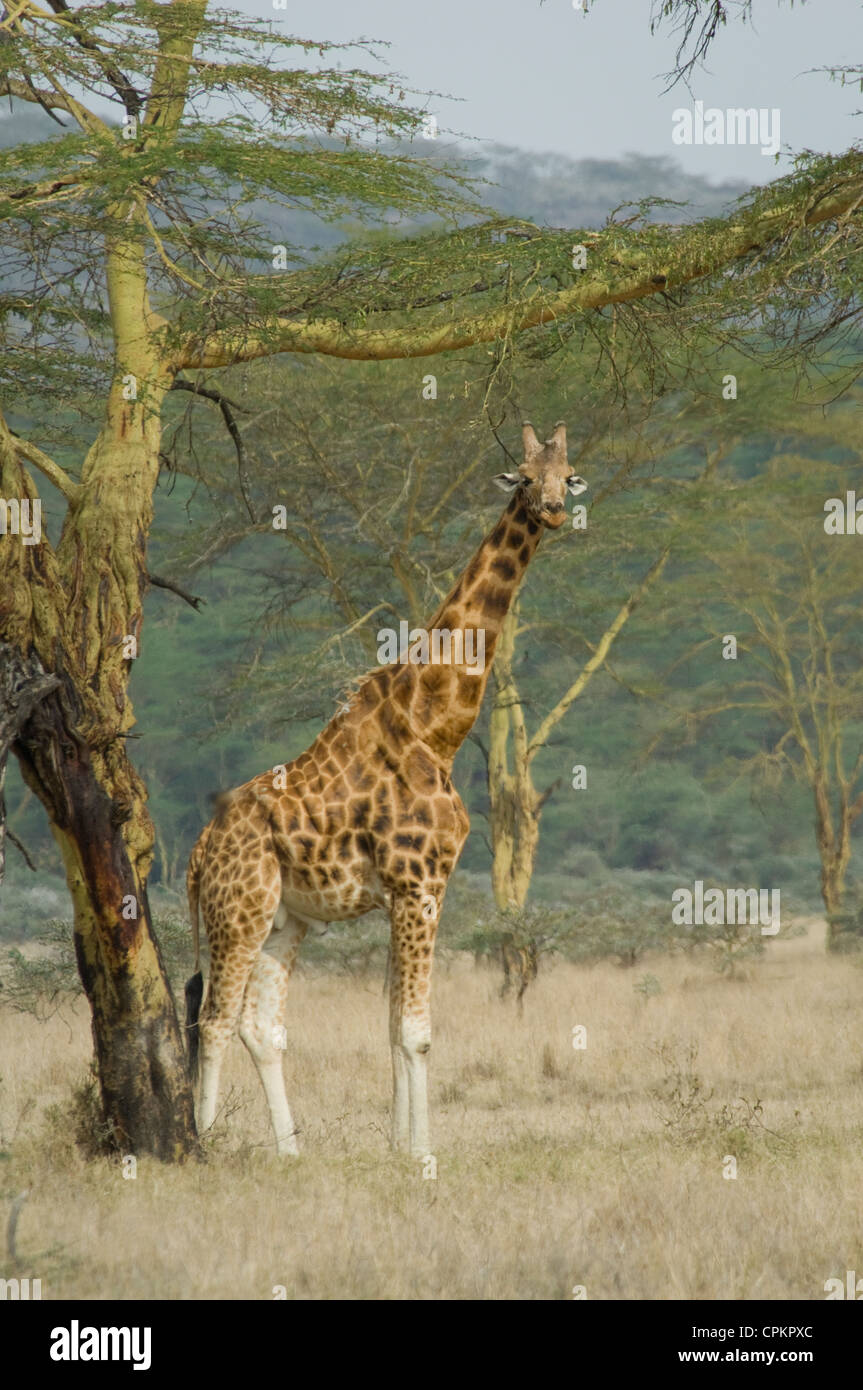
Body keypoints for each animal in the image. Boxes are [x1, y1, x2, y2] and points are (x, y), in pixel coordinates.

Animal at [183, 417, 586, 1156]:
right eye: (521, 475)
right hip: (239, 910)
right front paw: (422, 1152)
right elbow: (416, 1032)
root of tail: (198, 856)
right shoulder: (417, 883)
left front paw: (398, 1146)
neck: (436, 727)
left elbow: (393, 1026)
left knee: (260, 1025)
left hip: (285, 918)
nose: (551, 509)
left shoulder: (416, 890)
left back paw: (290, 1151)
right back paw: (203, 1147)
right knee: (214, 1019)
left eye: (567, 475)